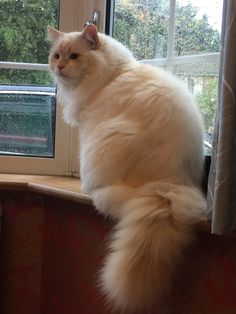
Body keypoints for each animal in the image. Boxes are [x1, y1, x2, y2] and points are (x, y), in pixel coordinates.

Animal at [47, 23, 206, 312]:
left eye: (74, 56)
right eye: (56, 56)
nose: (59, 67)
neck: (112, 74)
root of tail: (169, 185)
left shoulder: (88, 128)